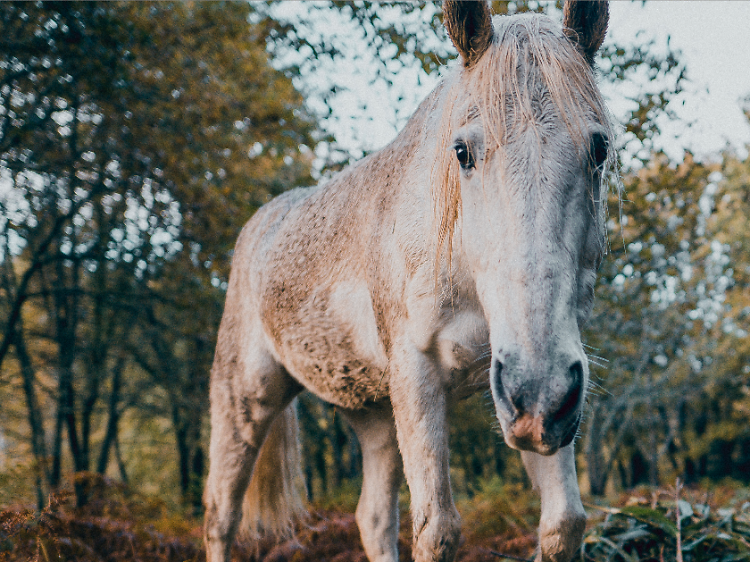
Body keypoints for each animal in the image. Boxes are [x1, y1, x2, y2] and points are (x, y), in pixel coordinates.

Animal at [203, 2, 612, 556]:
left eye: (599, 149)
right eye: (462, 152)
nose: (538, 390)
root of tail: (260, 225)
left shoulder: (538, 392)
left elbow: (563, 523)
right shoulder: (419, 374)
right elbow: (437, 529)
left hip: (377, 419)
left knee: (373, 519)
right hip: (245, 400)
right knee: (220, 517)